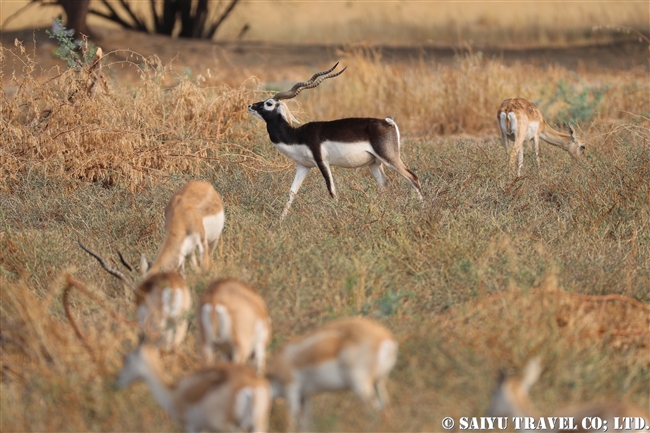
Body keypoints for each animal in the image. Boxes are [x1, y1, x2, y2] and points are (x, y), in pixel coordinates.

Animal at [116, 342, 268, 430]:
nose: (118, 381)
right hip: (257, 426)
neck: (175, 392)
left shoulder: (191, 426)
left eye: (127, 359)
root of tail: (250, 386)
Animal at [247, 61, 420, 219]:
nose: (250, 106)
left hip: (389, 158)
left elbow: (332, 190)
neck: (297, 136)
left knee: (413, 177)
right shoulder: (303, 166)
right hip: (374, 163)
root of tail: (387, 121)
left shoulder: (322, 161)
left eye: (268, 103)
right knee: (385, 184)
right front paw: (281, 220)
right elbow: (292, 192)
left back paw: (421, 207)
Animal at [266, 316, 398, 430]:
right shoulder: (305, 396)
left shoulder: (291, 390)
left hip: (361, 386)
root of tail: (385, 337)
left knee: (377, 411)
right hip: (378, 382)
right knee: (386, 410)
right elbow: (306, 424)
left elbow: (292, 421)